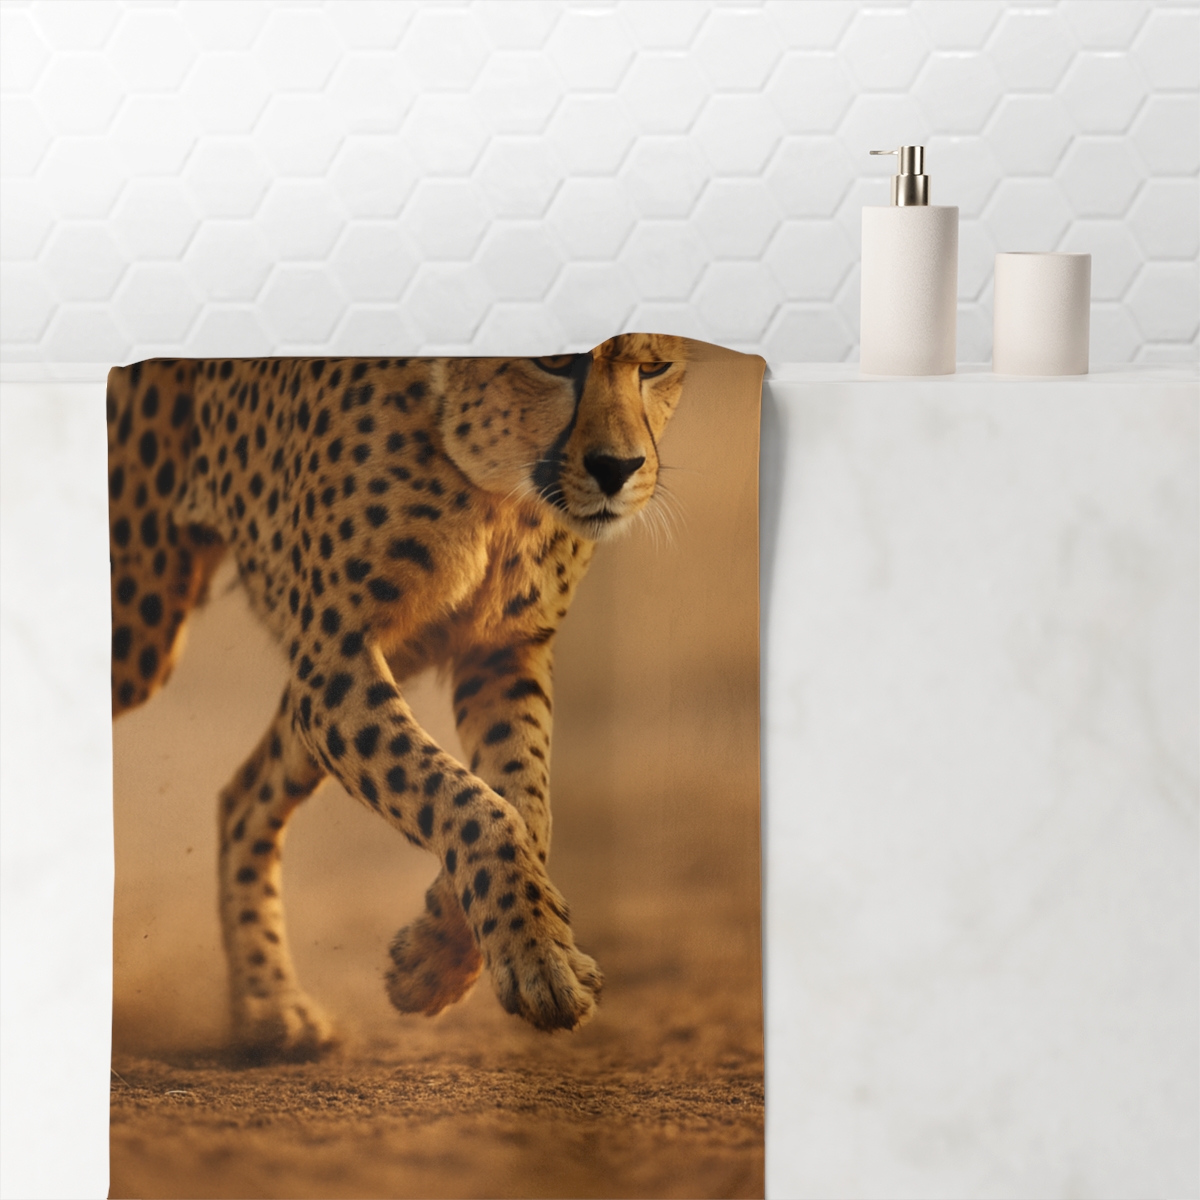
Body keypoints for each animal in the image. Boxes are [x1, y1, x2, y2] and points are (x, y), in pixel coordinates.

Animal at [106, 333, 689, 1061]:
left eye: (655, 366)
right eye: (552, 361)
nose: (617, 468)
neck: (493, 484)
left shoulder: (499, 648)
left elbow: (524, 802)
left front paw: (436, 960)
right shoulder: (335, 662)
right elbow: (472, 803)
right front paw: (533, 959)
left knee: (242, 796)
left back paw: (271, 1010)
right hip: (139, 622)